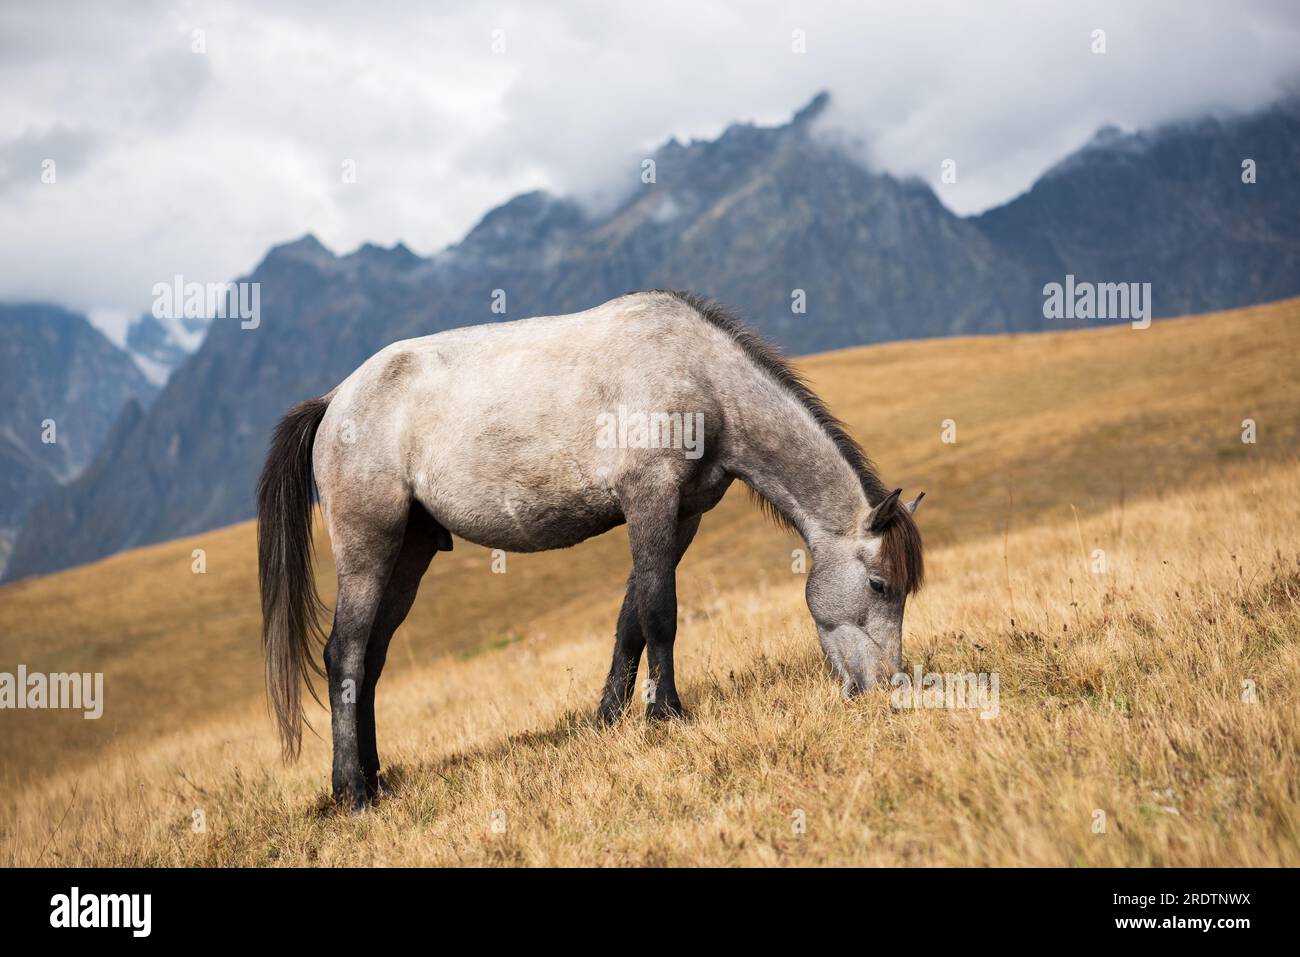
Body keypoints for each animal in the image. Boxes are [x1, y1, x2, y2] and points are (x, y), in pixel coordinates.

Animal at [256, 289, 925, 806]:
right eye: (878, 585)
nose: (887, 686)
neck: (699, 377)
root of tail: (334, 399)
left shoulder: (680, 517)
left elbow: (630, 621)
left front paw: (609, 719)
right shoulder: (650, 500)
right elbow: (659, 613)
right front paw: (666, 714)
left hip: (409, 552)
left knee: (370, 660)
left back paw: (375, 778)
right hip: (369, 545)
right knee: (344, 654)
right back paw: (352, 791)